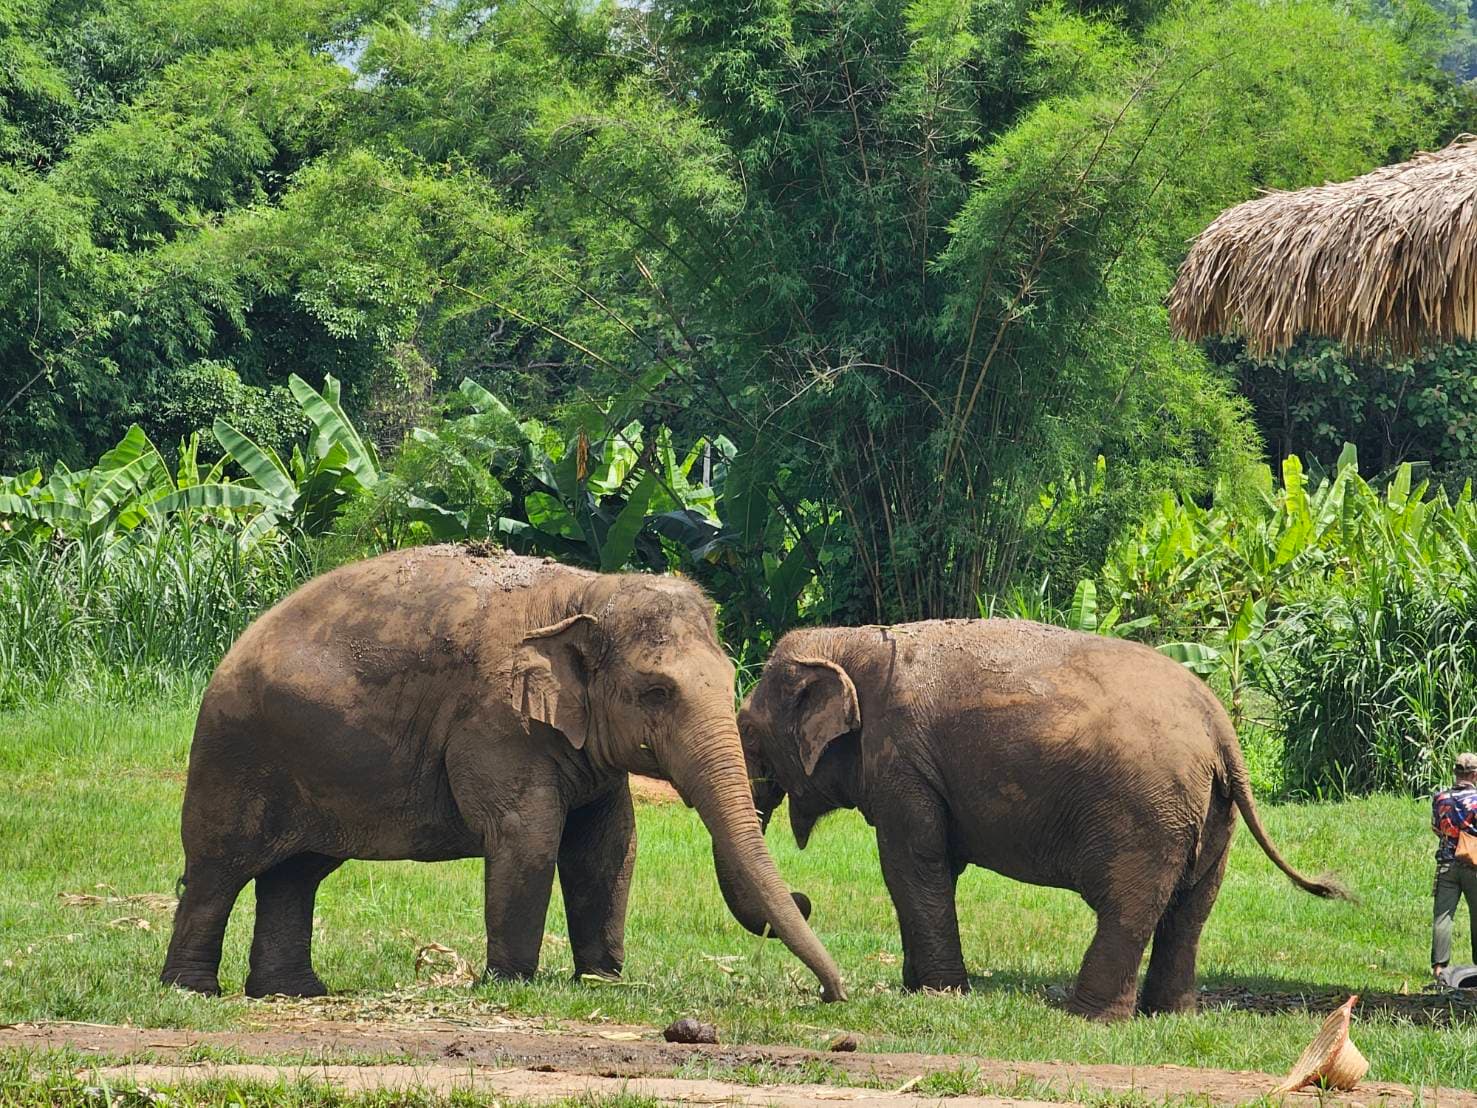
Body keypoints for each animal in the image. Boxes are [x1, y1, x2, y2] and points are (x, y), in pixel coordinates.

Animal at [160, 543, 845, 1002]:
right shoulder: (494, 722)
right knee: (219, 870)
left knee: (296, 875)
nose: (832, 994)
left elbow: (609, 845)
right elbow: (528, 834)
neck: (586, 595)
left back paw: (295, 993)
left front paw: (600, 979)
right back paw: (194, 990)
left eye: (730, 680)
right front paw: (511, 982)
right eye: (656, 692)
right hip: (234, 754)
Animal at [737, 618, 1344, 1021]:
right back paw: (1169, 1015)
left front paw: (938, 995)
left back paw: (1087, 1016)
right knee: (1190, 909)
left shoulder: (902, 761)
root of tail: (1221, 726)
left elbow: (912, 864)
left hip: (1146, 816)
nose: (803, 899)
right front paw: (920, 990)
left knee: (1129, 908)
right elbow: (927, 867)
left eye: (749, 734)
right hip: (1213, 814)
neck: (853, 640)